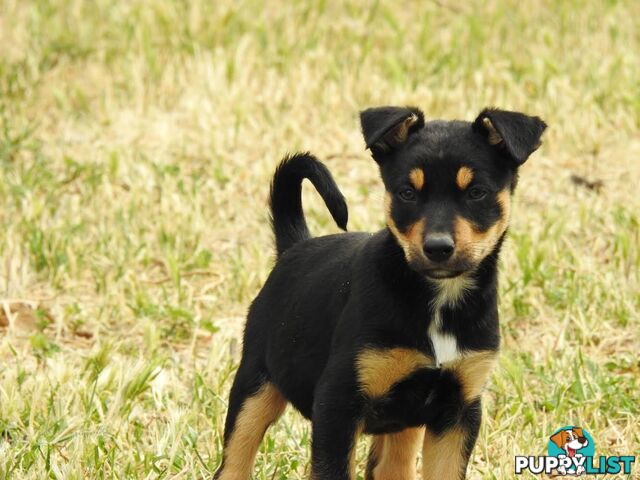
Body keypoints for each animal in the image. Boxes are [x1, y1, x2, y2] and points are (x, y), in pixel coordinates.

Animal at [214, 106, 544, 480]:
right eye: (407, 193)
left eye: (476, 192)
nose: (438, 248)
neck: (435, 299)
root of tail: (294, 246)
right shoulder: (337, 402)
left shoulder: (459, 408)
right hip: (255, 384)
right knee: (234, 461)